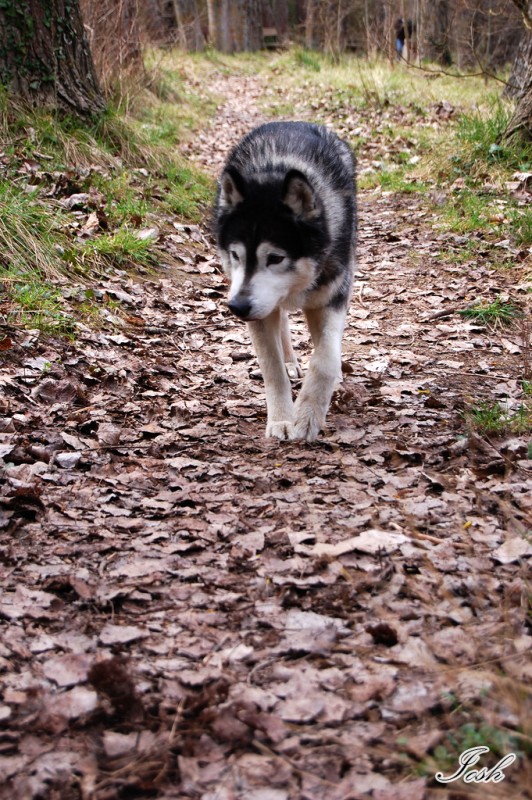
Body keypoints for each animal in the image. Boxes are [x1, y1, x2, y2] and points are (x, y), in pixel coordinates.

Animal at [214, 122, 356, 440]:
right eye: (236, 255)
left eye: (276, 258)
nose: (237, 307)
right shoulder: (258, 310)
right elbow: (272, 369)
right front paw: (281, 419)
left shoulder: (332, 298)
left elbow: (325, 358)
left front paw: (308, 415)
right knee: (282, 325)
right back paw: (290, 361)